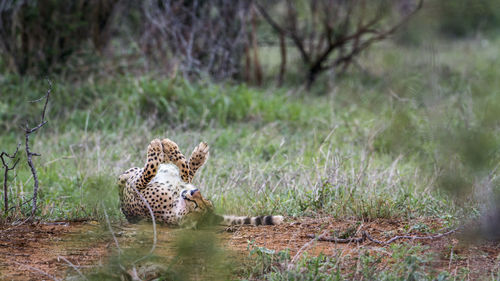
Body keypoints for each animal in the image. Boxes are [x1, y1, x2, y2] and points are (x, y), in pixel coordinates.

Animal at [115, 139, 284, 226]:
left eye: (196, 205)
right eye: (204, 198)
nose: (194, 192)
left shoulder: (135, 188)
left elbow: (150, 169)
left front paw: (157, 147)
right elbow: (183, 169)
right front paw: (168, 147)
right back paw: (196, 153)